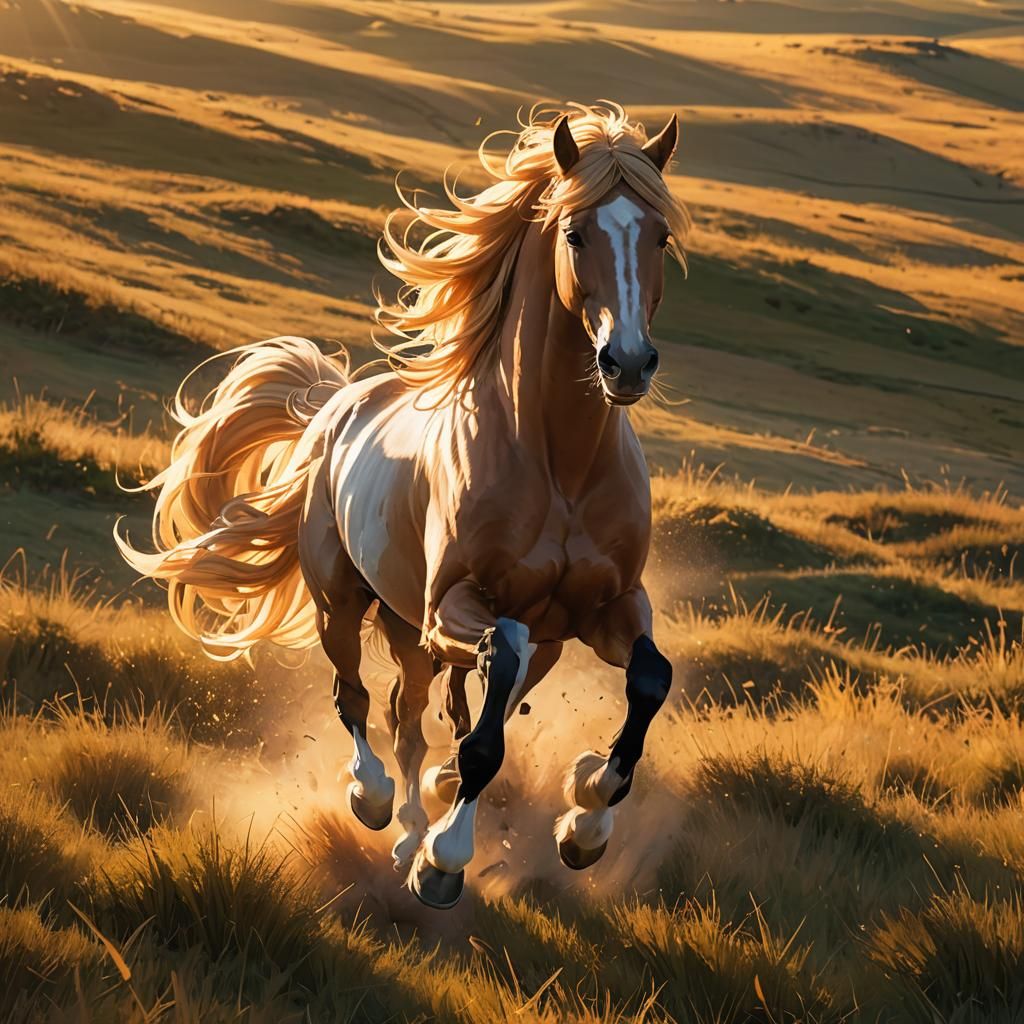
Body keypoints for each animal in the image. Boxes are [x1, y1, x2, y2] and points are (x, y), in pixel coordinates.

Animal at [118, 102, 690, 909]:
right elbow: (487, 712)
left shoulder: (607, 609)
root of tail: (338, 402)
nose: (628, 364)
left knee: (421, 714)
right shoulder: (454, 606)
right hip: (350, 604)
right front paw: (444, 859)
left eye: (659, 235)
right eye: (577, 233)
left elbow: (647, 680)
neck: (560, 464)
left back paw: (424, 813)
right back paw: (382, 807)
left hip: (435, 630)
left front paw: (585, 818)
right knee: (362, 703)